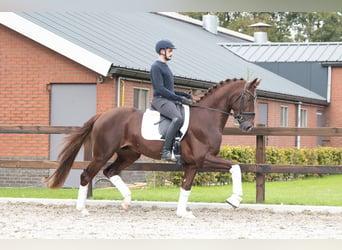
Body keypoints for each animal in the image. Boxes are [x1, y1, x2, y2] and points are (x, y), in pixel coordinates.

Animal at [44, 77, 260, 218]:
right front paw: (235, 200)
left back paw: (127, 200)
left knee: (110, 171)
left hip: (129, 154)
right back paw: (83, 209)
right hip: (102, 154)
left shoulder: (192, 164)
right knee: (87, 175)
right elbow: (236, 167)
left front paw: (182, 212)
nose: (248, 127)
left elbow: (186, 186)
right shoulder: (203, 159)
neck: (206, 118)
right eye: (249, 99)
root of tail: (102, 115)